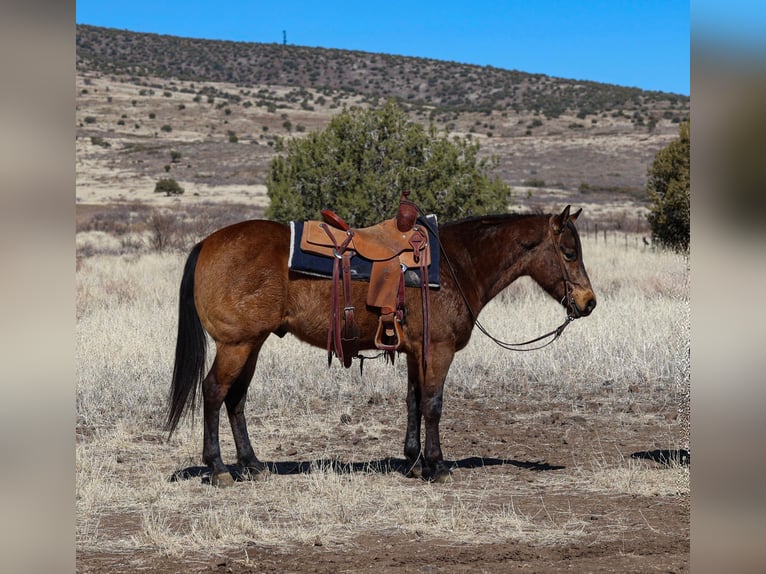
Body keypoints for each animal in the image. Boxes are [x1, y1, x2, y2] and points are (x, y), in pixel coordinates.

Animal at [166, 207, 600, 486]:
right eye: (568, 252)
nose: (588, 303)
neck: (457, 265)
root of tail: (206, 243)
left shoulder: (415, 352)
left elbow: (413, 402)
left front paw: (414, 462)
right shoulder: (437, 351)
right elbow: (433, 405)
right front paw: (437, 466)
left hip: (250, 345)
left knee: (236, 398)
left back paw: (253, 464)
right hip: (236, 345)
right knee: (214, 392)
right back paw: (218, 469)